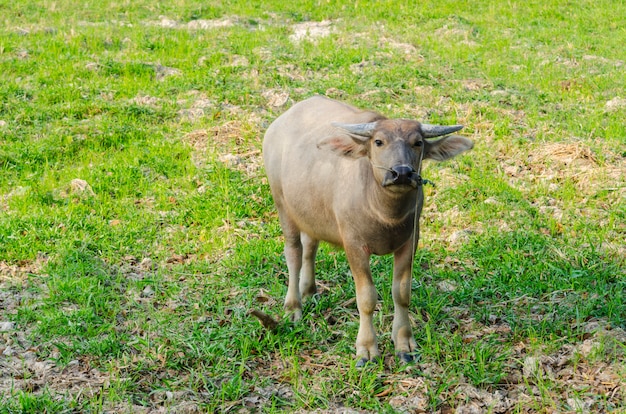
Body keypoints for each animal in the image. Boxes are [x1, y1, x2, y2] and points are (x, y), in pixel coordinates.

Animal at [260, 96, 470, 366]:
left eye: (418, 142)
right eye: (378, 141)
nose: (401, 173)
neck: (385, 214)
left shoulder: (410, 241)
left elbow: (402, 293)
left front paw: (404, 344)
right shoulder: (354, 245)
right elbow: (367, 298)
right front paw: (367, 349)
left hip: (309, 212)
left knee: (310, 247)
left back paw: (309, 291)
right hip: (282, 205)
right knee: (294, 253)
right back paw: (293, 307)